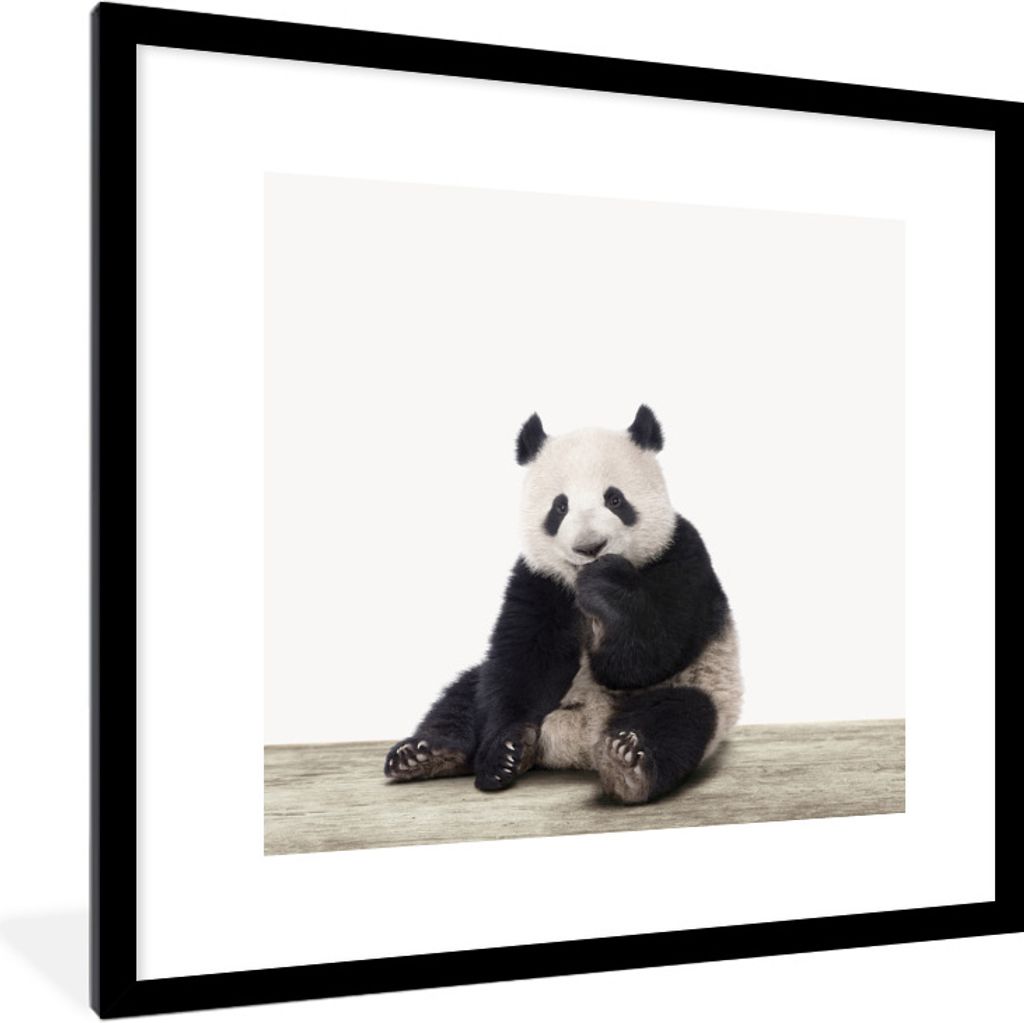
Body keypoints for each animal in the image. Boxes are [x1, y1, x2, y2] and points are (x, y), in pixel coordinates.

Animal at [384, 406, 742, 804]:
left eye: (615, 500)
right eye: (560, 506)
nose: (590, 547)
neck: (577, 582)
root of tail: (579, 742)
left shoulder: (681, 556)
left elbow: (648, 654)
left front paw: (606, 585)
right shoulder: (538, 579)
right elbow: (524, 661)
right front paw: (504, 752)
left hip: (703, 687)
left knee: (680, 717)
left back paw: (627, 764)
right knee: (464, 695)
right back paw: (427, 754)